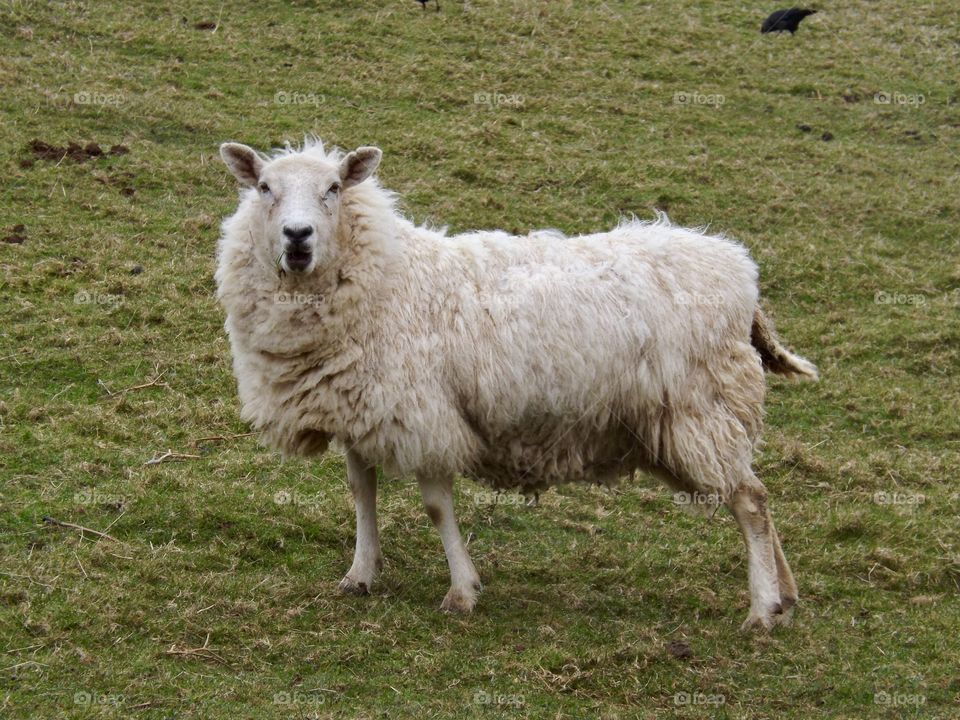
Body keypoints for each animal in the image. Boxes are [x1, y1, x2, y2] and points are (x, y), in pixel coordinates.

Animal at [216, 137, 818, 631]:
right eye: (265, 187)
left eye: (334, 188)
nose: (297, 238)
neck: (389, 280)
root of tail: (740, 273)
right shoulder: (362, 411)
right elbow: (362, 495)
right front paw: (361, 574)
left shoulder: (426, 413)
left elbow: (436, 508)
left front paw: (462, 591)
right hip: (696, 418)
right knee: (755, 489)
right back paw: (785, 597)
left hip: (702, 409)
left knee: (750, 501)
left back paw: (761, 609)